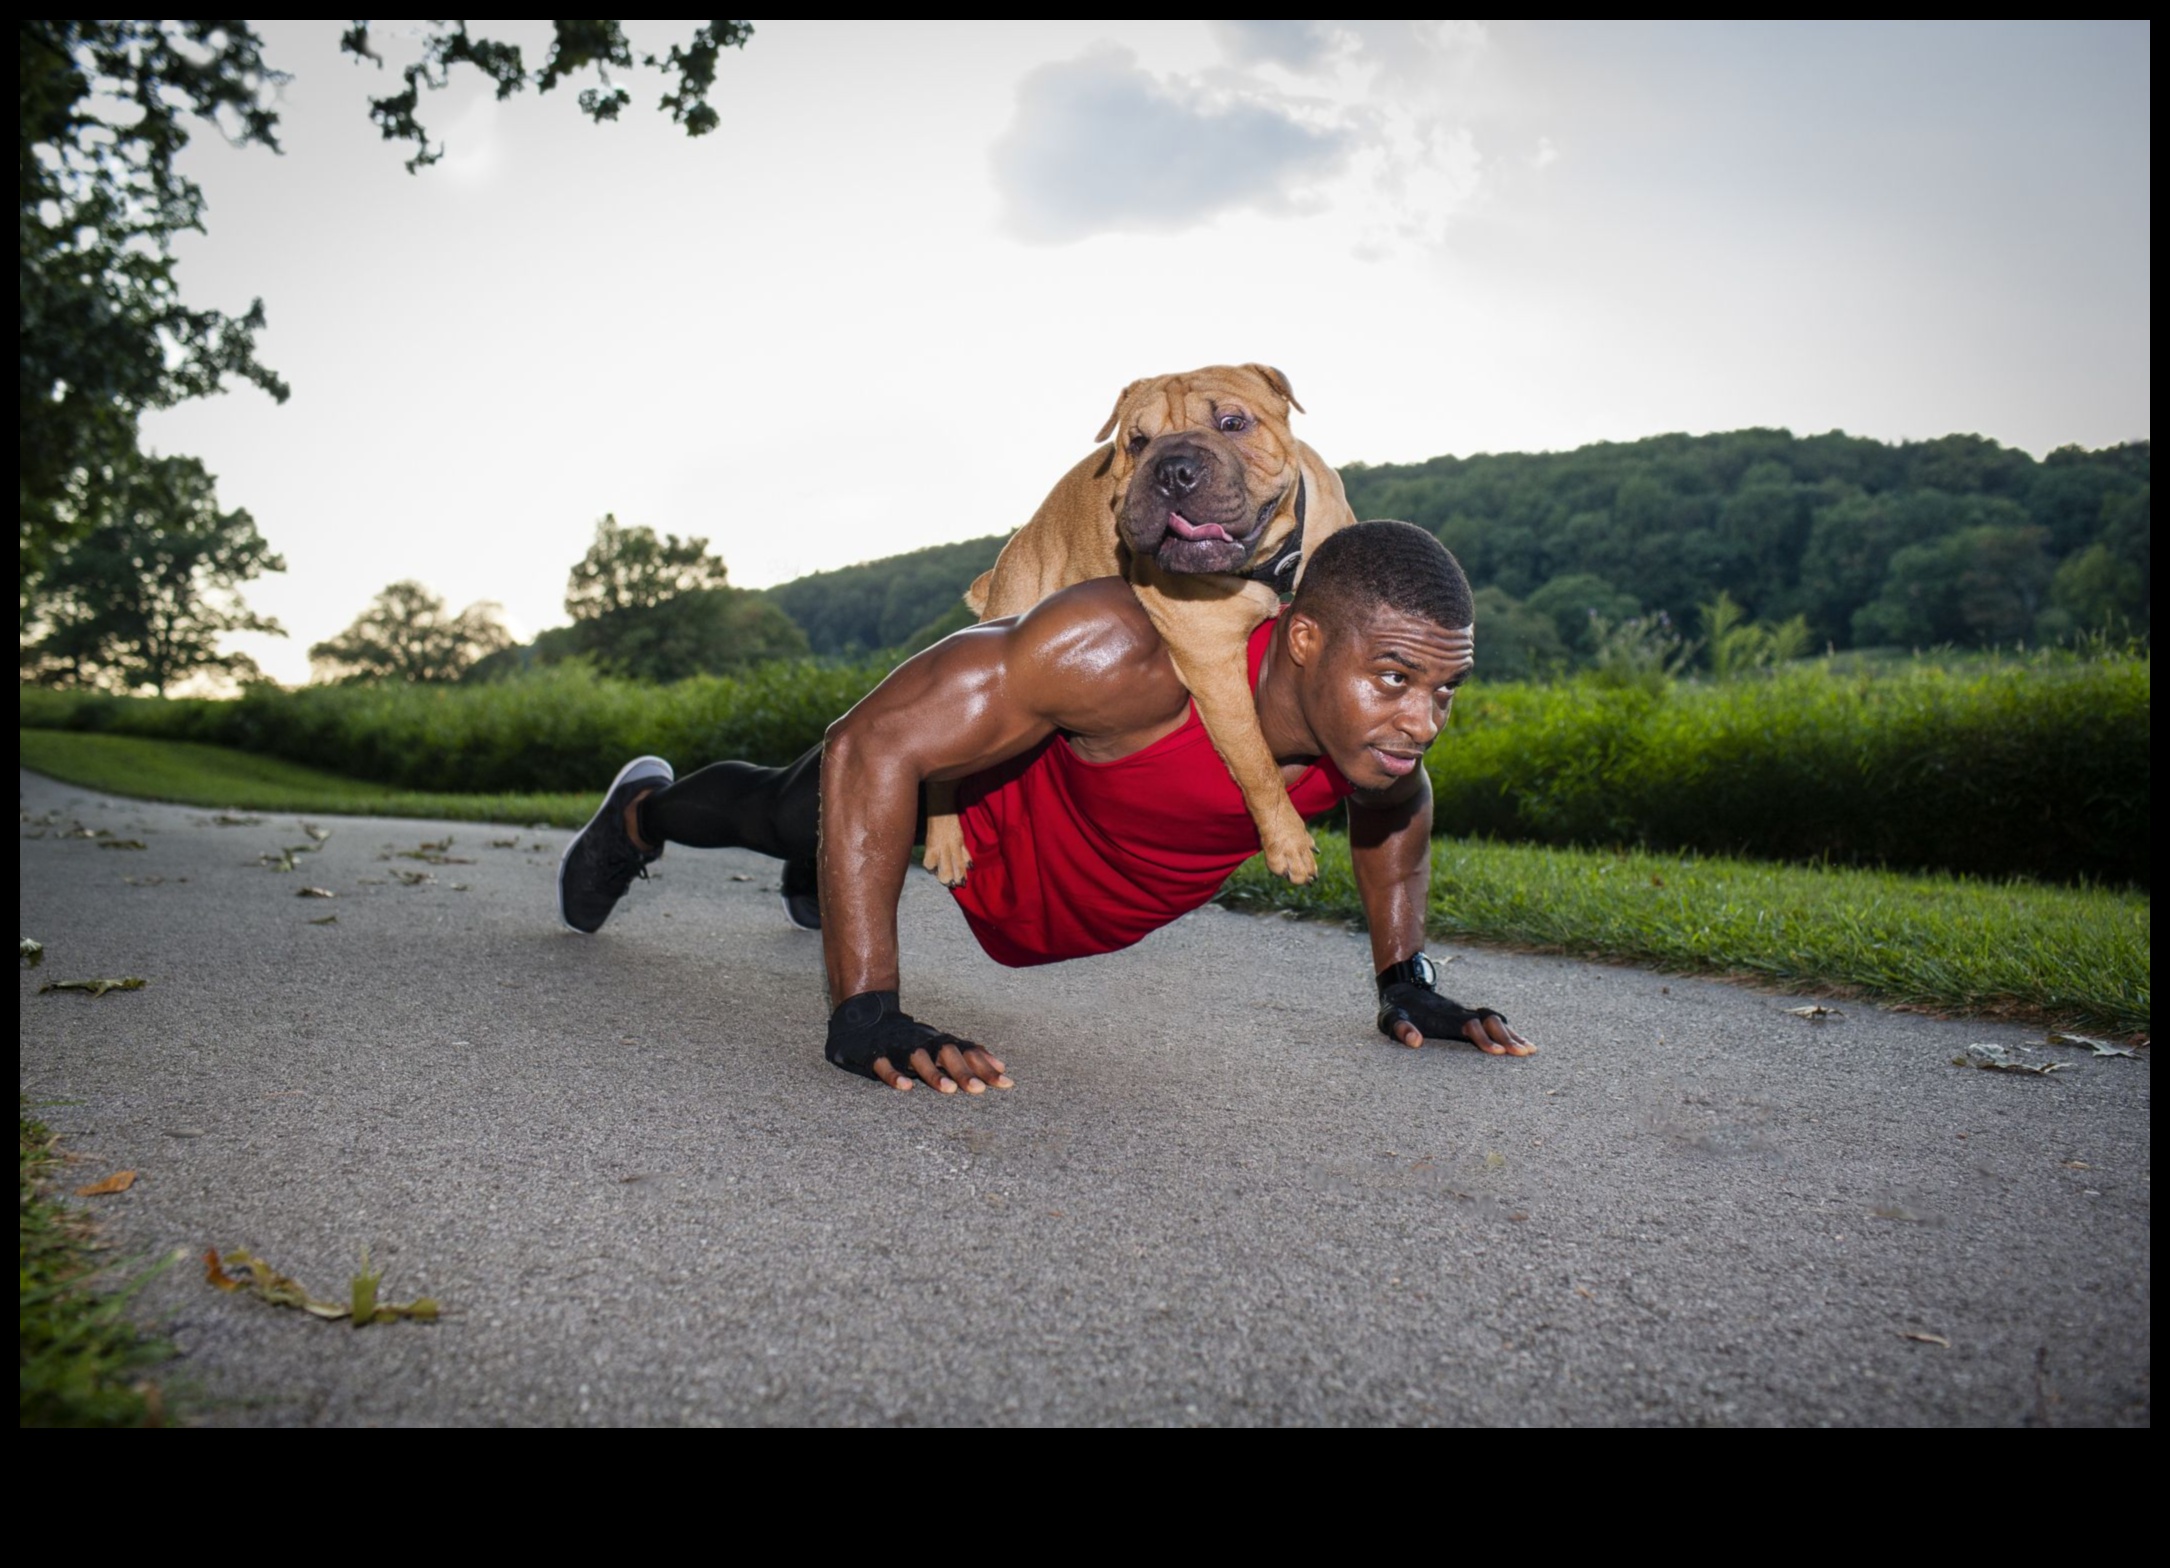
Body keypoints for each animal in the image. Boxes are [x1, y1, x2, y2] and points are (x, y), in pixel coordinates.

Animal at [924, 360, 1362, 889]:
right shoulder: (1215, 670)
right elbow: (1256, 761)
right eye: (1136, 442)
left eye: (1233, 423)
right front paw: (1288, 843)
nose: (1173, 470)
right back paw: (945, 844)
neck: (1266, 567)